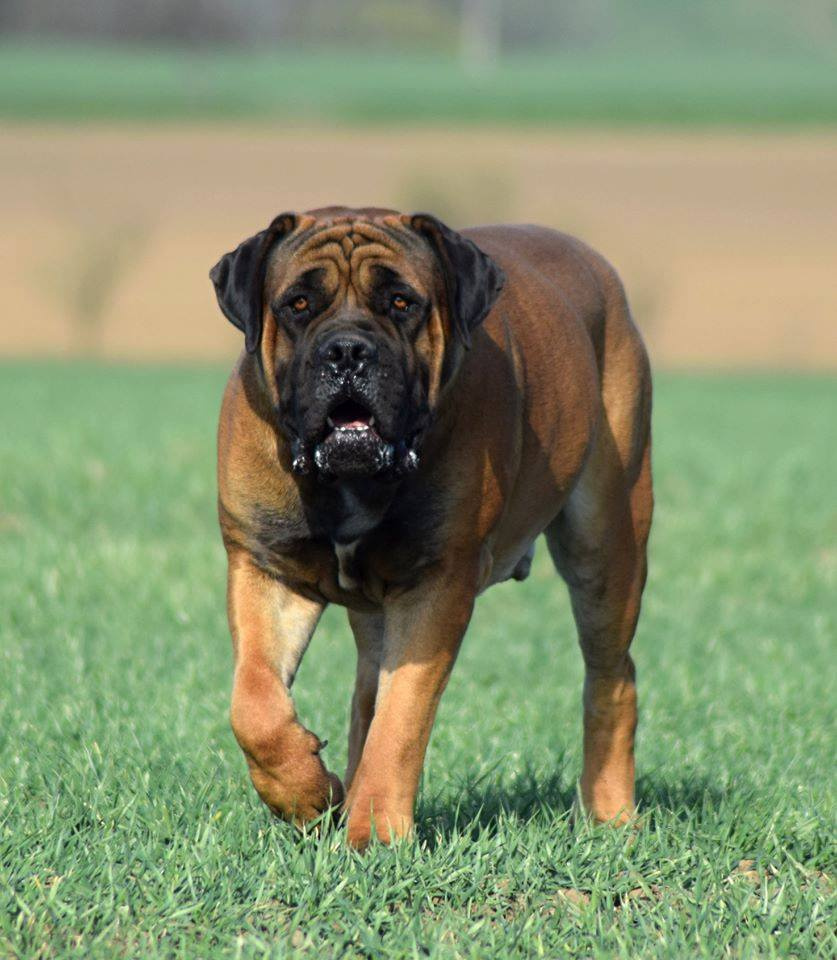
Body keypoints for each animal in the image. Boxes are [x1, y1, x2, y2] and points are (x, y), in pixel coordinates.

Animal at [209, 208, 652, 848]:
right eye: (298, 304)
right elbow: (254, 702)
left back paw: (611, 813)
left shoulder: (437, 585)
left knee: (613, 676)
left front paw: (375, 832)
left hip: (606, 543)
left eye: (401, 302)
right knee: (363, 697)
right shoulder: (265, 569)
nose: (347, 351)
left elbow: (402, 720)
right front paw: (307, 795)